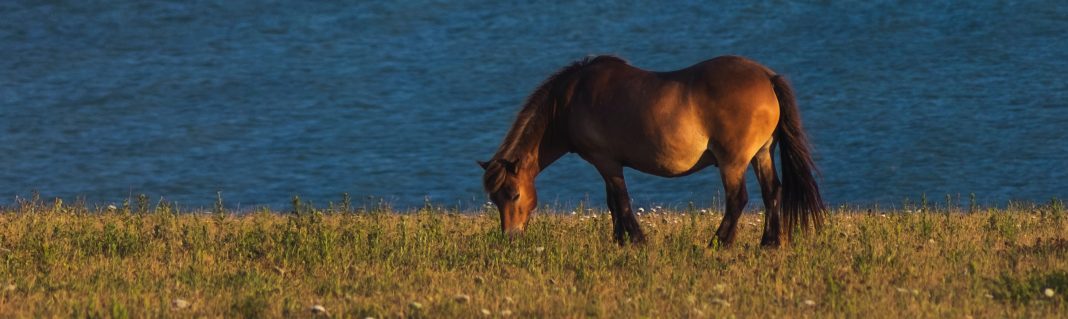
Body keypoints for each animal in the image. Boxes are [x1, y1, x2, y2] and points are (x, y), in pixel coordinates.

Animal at [480, 55, 820, 247]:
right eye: (495, 199)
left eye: (513, 194)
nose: (510, 237)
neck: (571, 99)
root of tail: (766, 77)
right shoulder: (607, 164)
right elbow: (612, 203)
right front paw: (619, 240)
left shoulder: (606, 161)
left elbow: (621, 201)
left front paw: (637, 240)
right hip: (762, 154)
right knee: (772, 192)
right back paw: (769, 242)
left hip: (733, 162)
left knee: (738, 200)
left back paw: (718, 243)